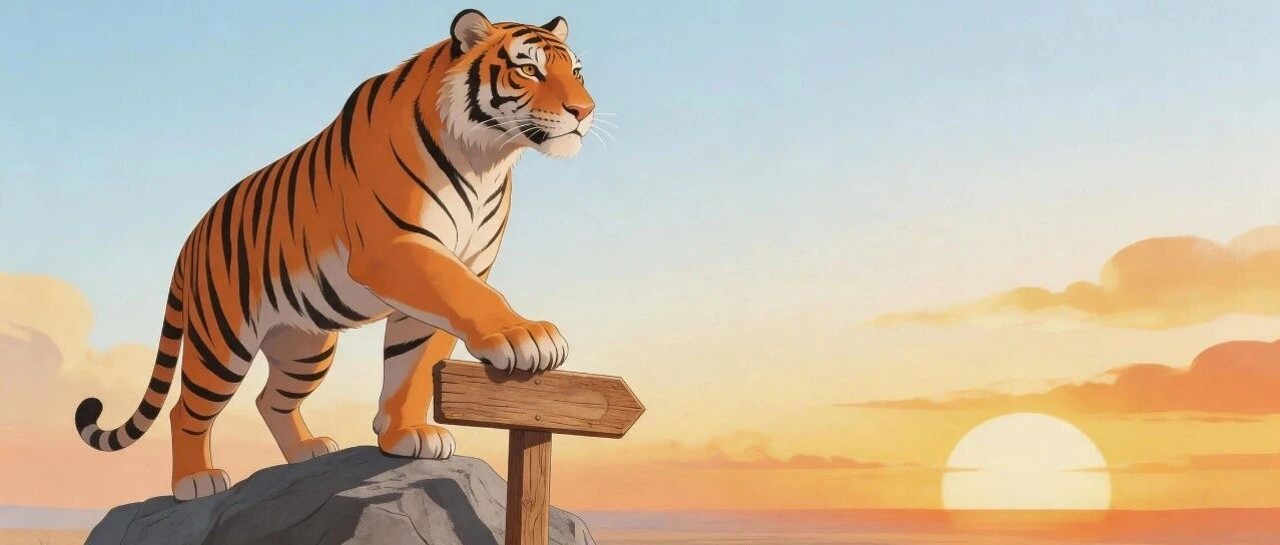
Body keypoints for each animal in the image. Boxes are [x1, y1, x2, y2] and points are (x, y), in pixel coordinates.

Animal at [72, 9, 594, 501]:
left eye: (577, 72)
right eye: (528, 69)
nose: (585, 110)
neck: (484, 158)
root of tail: (191, 238)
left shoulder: (456, 266)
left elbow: (413, 362)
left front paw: (406, 434)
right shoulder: (398, 249)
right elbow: (469, 297)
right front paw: (526, 336)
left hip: (305, 346)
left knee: (271, 400)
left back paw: (308, 451)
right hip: (221, 341)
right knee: (188, 409)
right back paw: (195, 481)